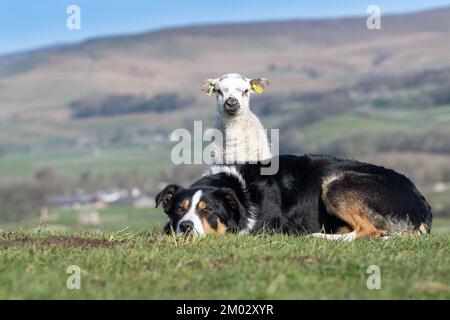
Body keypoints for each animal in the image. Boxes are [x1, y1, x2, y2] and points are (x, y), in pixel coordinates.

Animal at [156, 154, 432, 240]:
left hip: (335, 183)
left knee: (369, 232)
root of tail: (423, 207)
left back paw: (319, 237)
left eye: (208, 210)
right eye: (179, 210)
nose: (186, 226)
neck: (240, 191)